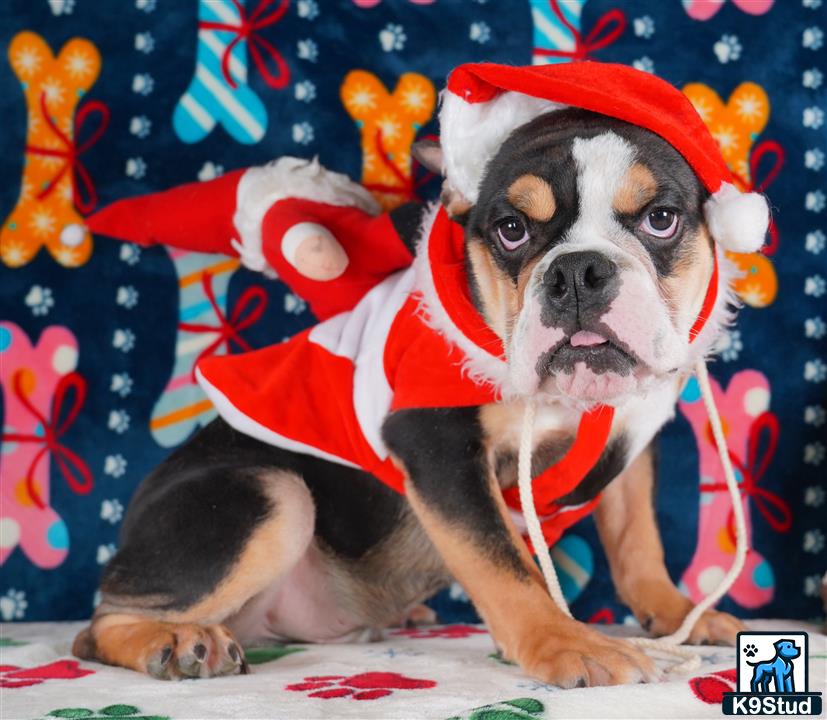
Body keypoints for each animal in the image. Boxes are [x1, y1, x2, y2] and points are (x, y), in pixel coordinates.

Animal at [74, 64, 768, 688]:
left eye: (661, 219)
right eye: (511, 230)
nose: (577, 272)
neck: (571, 400)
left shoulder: (629, 433)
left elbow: (637, 543)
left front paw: (678, 614)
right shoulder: (437, 443)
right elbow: (504, 565)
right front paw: (568, 644)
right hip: (273, 495)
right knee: (98, 624)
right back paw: (173, 641)